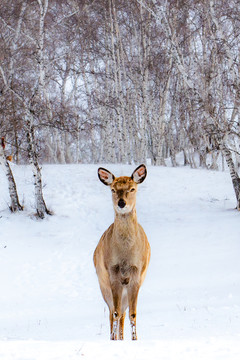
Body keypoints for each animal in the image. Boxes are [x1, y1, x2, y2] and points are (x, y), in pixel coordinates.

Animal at [93, 165, 150, 340]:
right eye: (113, 189)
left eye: (132, 189)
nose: (121, 203)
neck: (126, 254)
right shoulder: (113, 273)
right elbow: (116, 313)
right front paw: (114, 339)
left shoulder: (136, 274)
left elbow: (133, 314)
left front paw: (135, 339)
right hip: (103, 284)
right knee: (113, 312)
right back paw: (114, 337)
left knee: (123, 313)